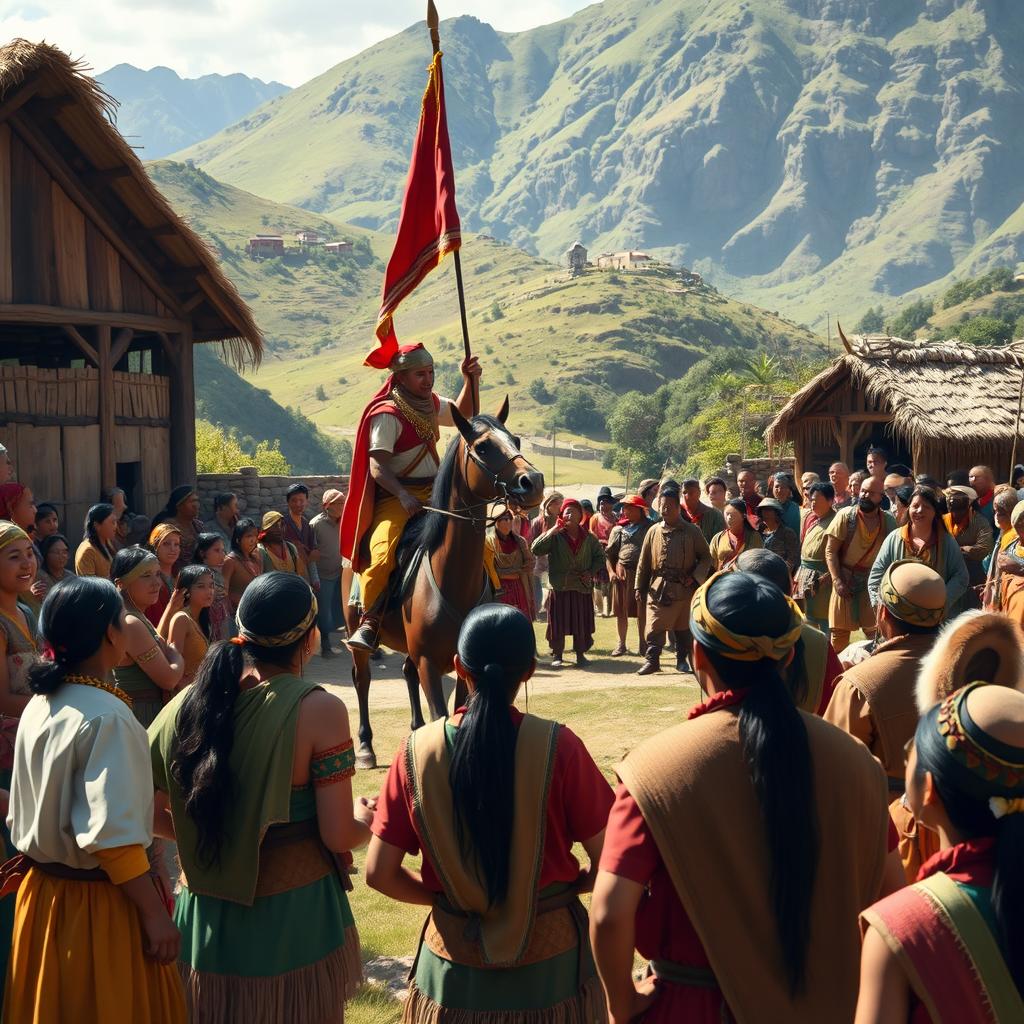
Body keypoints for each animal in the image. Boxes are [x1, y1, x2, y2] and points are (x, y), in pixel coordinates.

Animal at [352, 395, 544, 765]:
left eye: (515, 440)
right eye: (483, 447)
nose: (534, 481)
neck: (452, 577)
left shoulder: (466, 662)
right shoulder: (429, 663)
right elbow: (441, 715)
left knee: (406, 672)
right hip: (360, 637)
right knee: (362, 679)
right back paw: (366, 746)